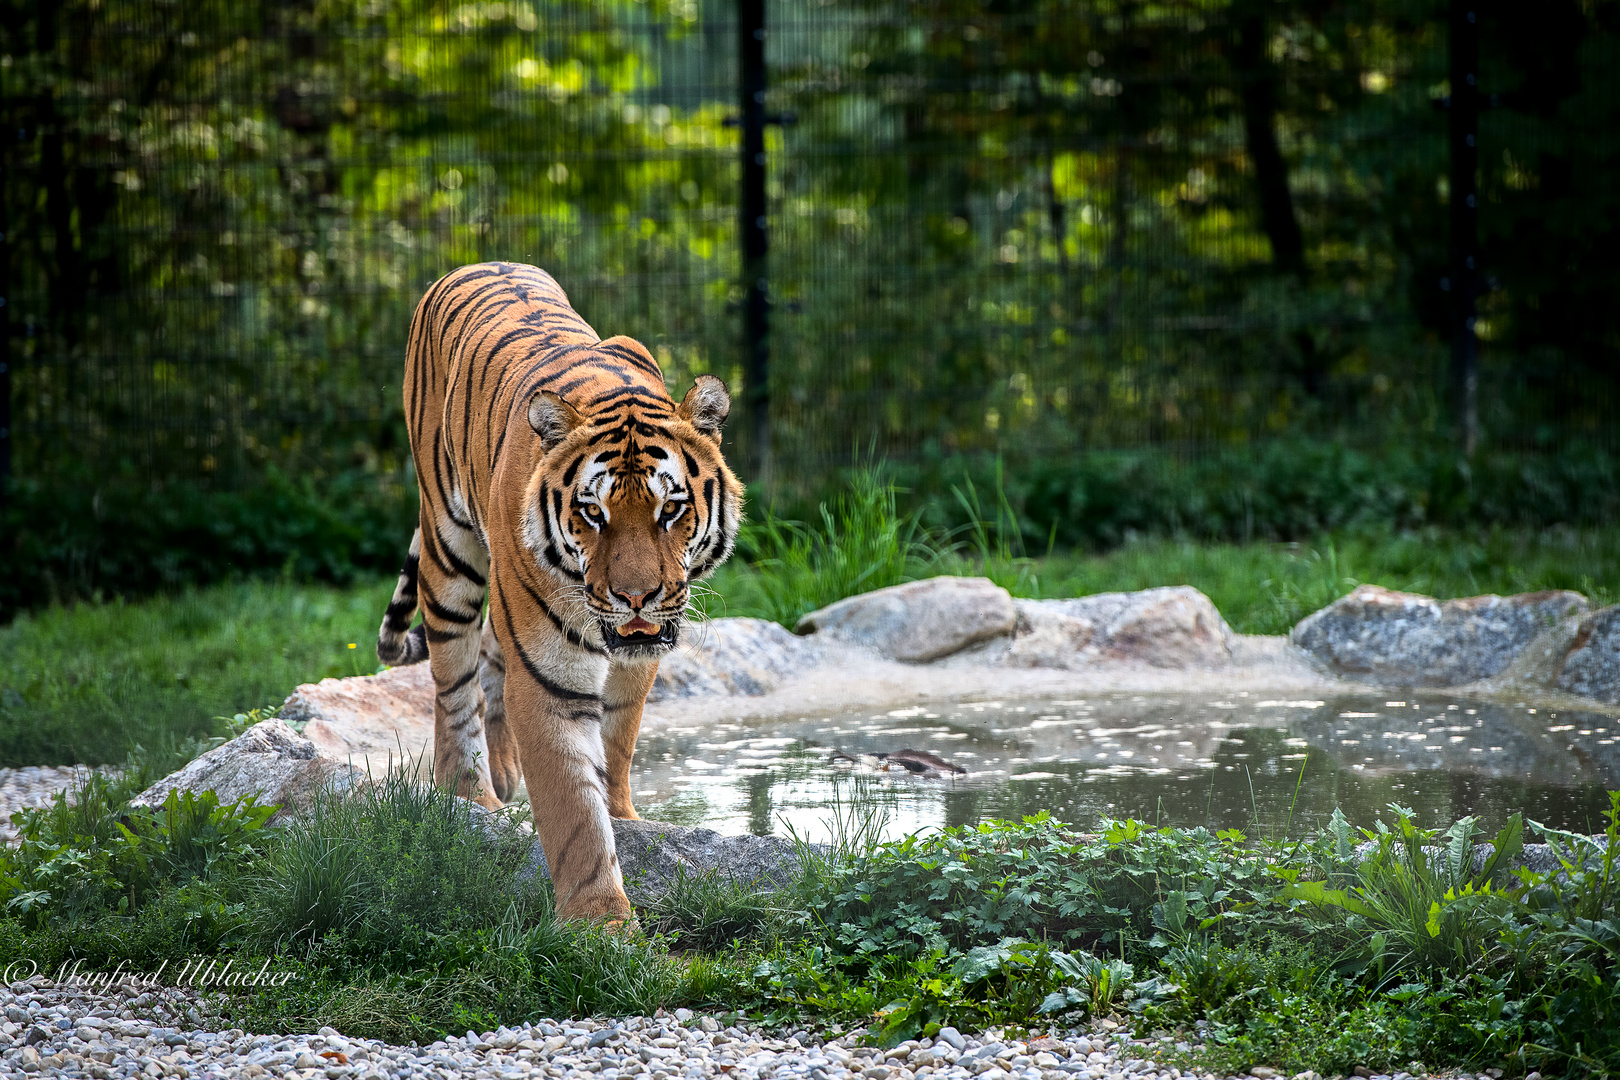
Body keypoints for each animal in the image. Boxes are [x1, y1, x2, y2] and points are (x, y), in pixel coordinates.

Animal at [372, 262, 741, 919]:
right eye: (592, 513)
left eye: (671, 509)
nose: (636, 598)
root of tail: (475, 263)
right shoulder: (550, 680)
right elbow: (575, 816)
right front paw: (603, 926)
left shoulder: (634, 663)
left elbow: (615, 748)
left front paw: (627, 820)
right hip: (449, 549)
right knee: (453, 681)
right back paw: (470, 797)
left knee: (489, 663)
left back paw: (500, 772)